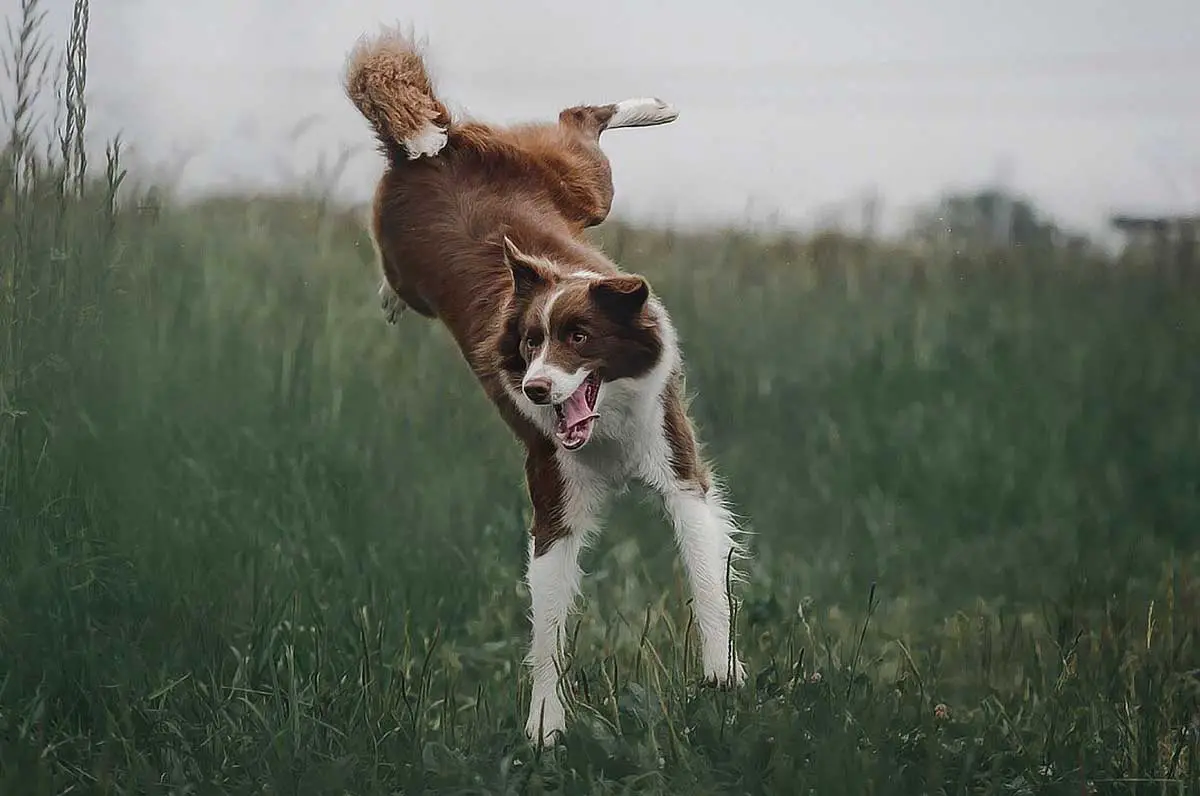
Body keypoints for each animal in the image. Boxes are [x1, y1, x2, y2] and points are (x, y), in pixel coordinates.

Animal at [343, 26, 744, 749]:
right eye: (530, 342)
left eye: (580, 338)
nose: (533, 389)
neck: (608, 426)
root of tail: (431, 149)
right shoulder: (553, 495)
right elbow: (549, 626)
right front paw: (544, 730)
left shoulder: (677, 464)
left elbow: (706, 574)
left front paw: (721, 672)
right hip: (428, 248)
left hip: (583, 187)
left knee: (579, 122)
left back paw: (655, 106)